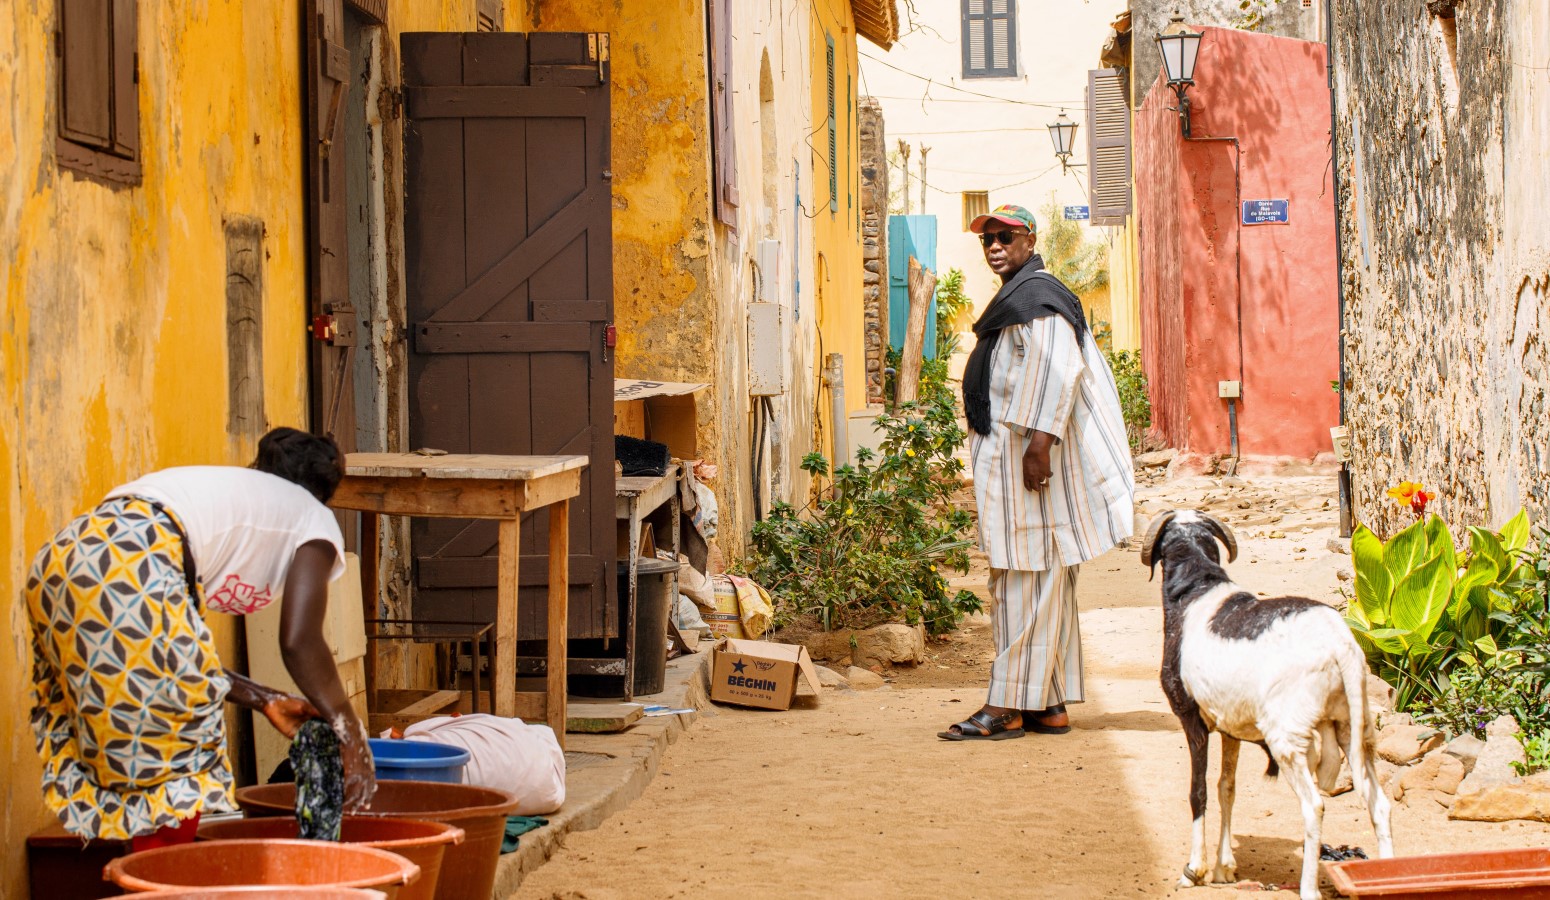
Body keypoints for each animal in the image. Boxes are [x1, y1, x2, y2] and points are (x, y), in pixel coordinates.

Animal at [1140, 508, 1395, 892]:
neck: (1197, 587)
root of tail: (1341, 645)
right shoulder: (1230, 726)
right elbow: (1226, 788)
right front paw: (1224, 868)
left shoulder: (1191, 718)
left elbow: (1198, 791)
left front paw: (1195, 869)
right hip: (1355, 728)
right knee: (1378, 805)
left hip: (1287, 738)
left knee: (1314, 807)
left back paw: (1309, 889)